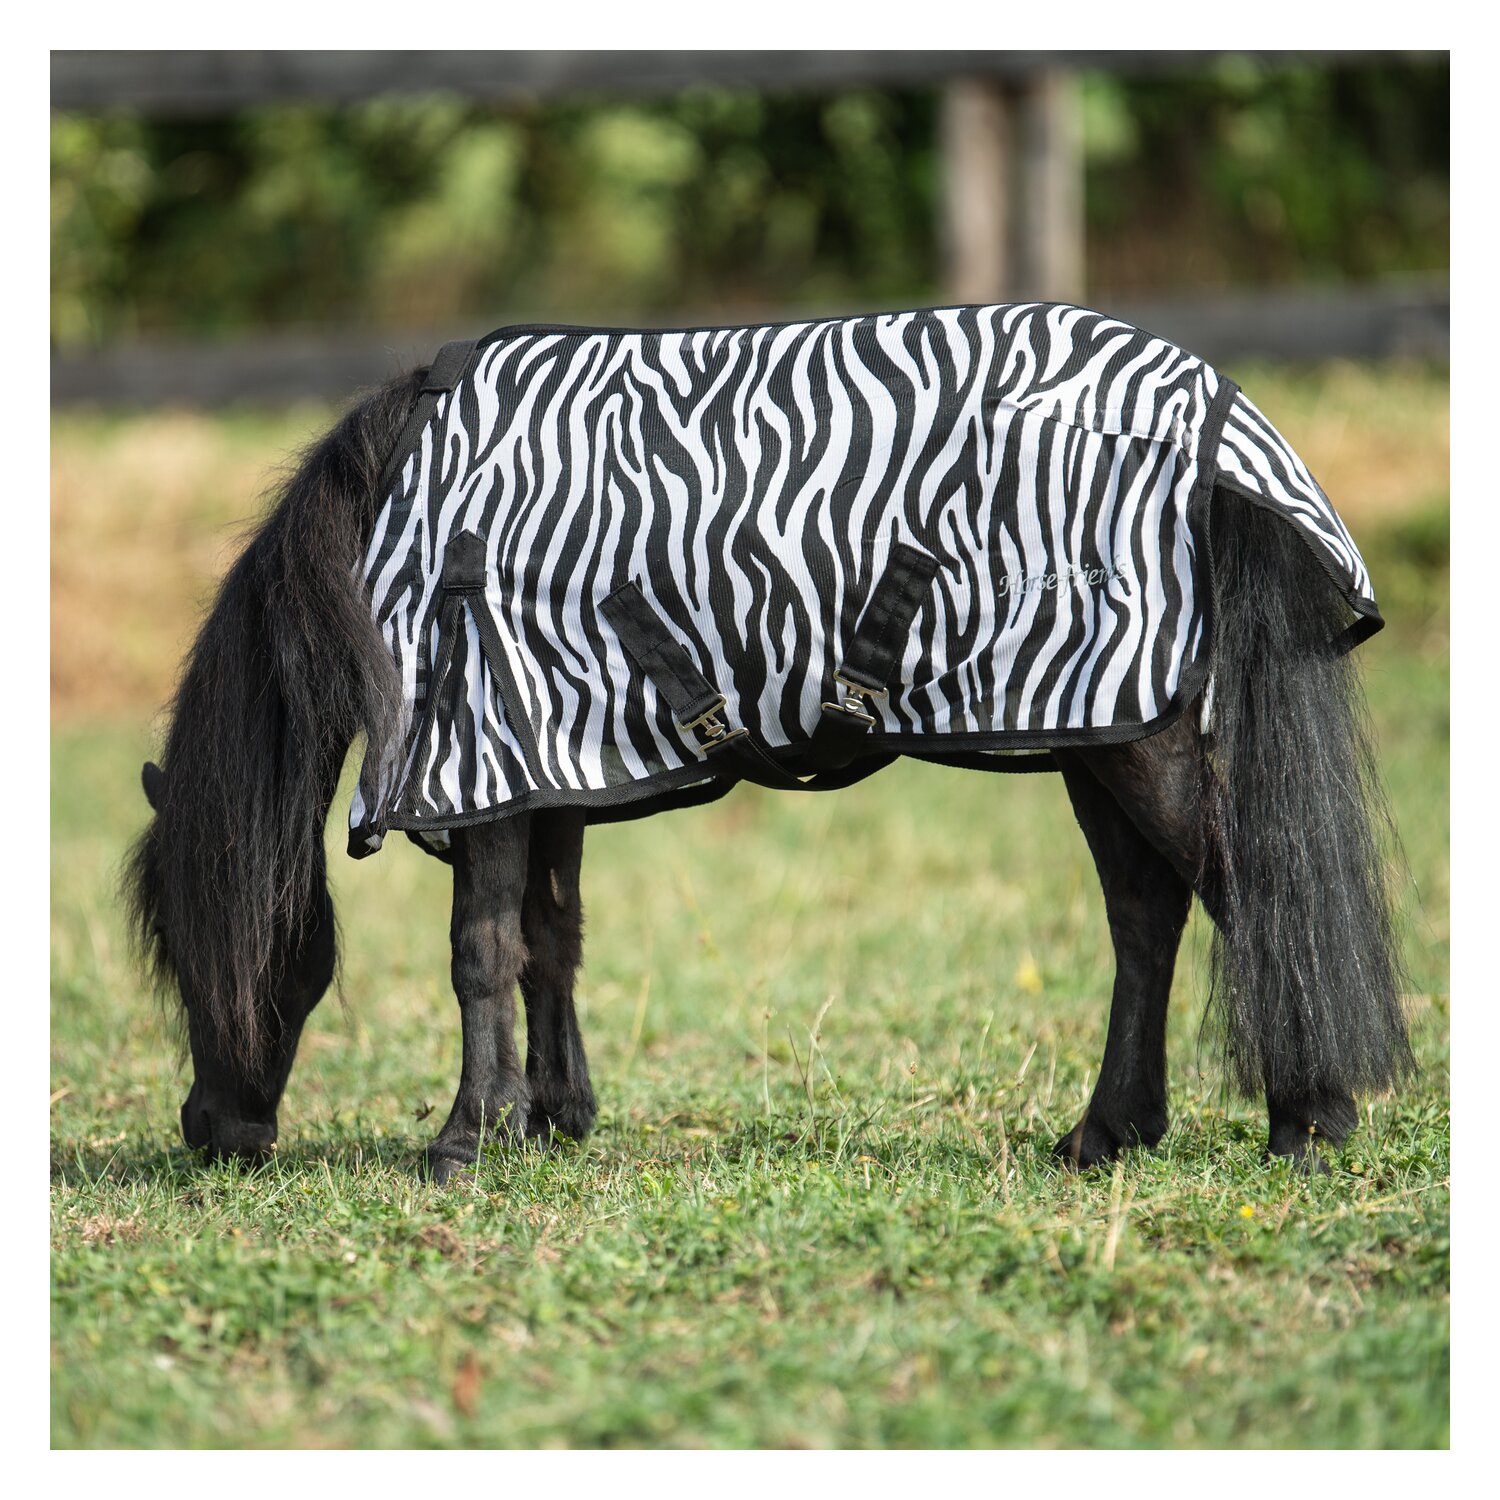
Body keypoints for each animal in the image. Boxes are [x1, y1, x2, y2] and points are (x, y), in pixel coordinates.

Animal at [125, 307, 1413, 1183]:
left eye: (190, 946)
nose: (213, 1133)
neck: (411, 520)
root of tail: (1217, 426)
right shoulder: (551, 761)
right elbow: (550, 943)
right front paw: (552, 1116)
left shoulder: (484, 741)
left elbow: (479, 953)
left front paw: (465, 1141)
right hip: (1101, 732)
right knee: (1147, 917)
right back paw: (1108, 1133)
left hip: (1134, 738)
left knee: (1248, 895)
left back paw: (1308, 1118)